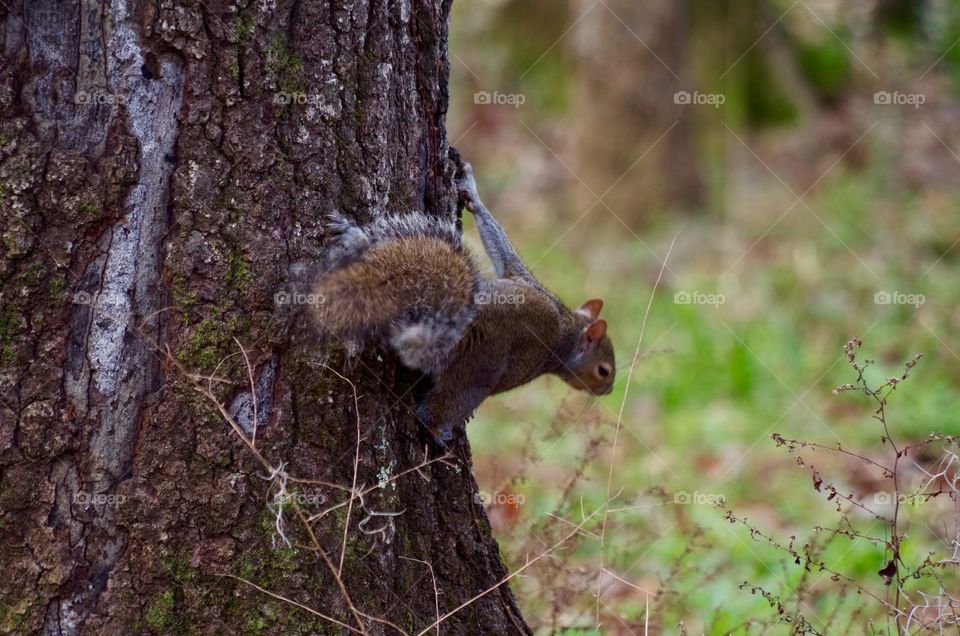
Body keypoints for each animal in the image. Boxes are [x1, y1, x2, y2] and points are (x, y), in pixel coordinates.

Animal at [311, 160, 615, 444]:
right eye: (603, 371)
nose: (609, 391)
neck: (570, 327)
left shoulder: (521, 278)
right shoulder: (525, 281)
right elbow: (502, 246)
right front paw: (473, 193)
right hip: (472, 375)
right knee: (435, 411)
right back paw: (438, 433)